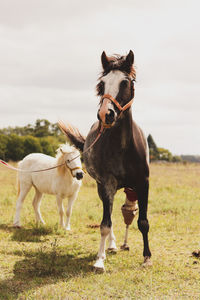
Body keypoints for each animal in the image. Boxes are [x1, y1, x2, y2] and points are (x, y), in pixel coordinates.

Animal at [60, 50, 151, 270]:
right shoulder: (107, 184)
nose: (105, 114)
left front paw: (147, 258)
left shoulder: (142, 183)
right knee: (109, 216)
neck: (123, 148)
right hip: (103, 189)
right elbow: (105, 224)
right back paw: (111, 246)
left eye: (125, 82)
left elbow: (143, 222)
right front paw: (100, 260)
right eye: (102, 84)